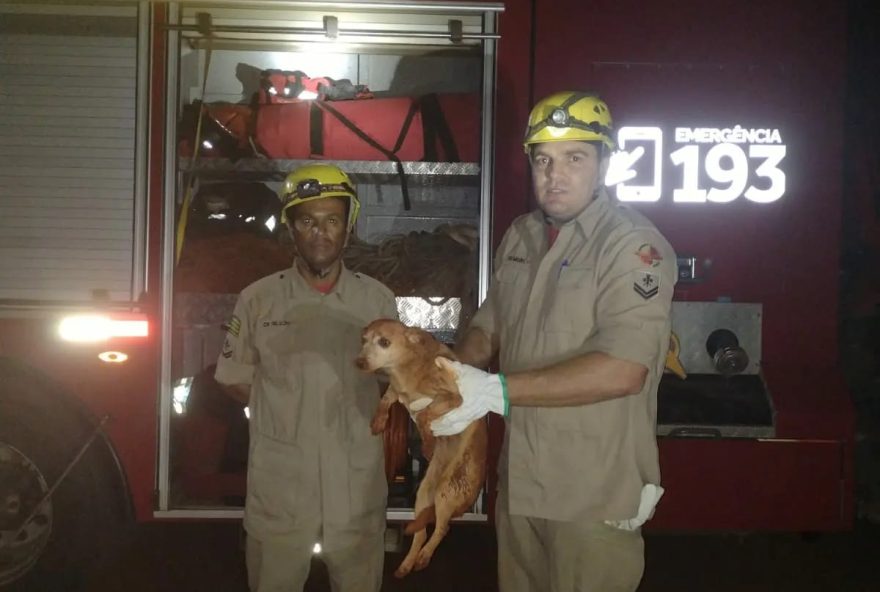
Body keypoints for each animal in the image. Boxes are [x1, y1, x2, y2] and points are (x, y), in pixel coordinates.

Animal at [354, 320, 488, 580]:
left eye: (384, 342)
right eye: (363, 340)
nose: (359, 363)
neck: (404, 370)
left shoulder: (454, 398)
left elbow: (426, 413)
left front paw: (428, 441)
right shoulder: (397, 391)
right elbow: (386, 400)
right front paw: (379, 421)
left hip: (447, 491)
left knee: (442, 529)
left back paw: (425, 556)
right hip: (423, 495)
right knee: (422, 532)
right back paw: (408, 563)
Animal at [432, 90, 672, 588]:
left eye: (575, 157)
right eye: (545, 159)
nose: (554, 177)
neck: (566, 222)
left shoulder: (637, 254)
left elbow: (618, 358)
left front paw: (479, 390)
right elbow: (493, 321)